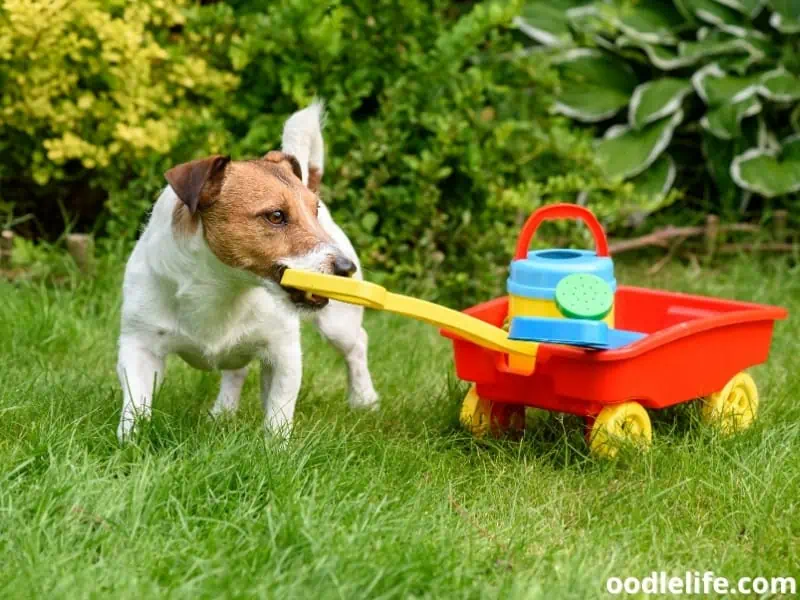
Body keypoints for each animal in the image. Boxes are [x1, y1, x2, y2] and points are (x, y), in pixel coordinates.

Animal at [115, 102, 378, 440]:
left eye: (314, 211)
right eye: (276, 215)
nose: (347, 268)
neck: (223, 286)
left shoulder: (283, 353)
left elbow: (279, 413)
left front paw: (275, 448)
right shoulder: (139, 346)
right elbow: (136, 404)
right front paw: (130, 441)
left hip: (339, 326)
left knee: (358, 345)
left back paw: (364, 399)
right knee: (235, 371)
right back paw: (222, 413)